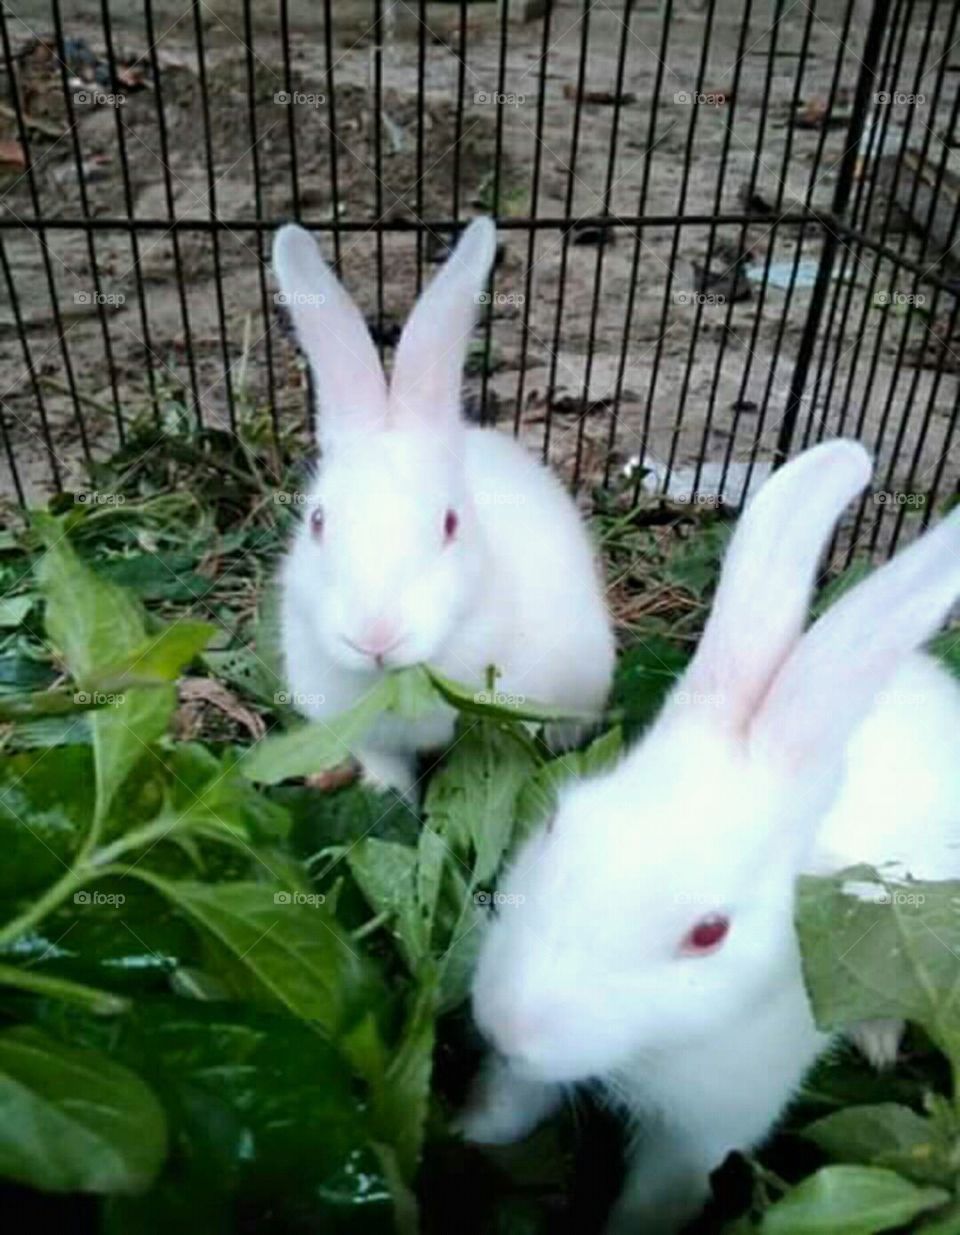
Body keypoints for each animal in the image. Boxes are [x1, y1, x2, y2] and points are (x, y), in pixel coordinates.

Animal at [269, 219, 615, 800]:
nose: (375, 637)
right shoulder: (370, 739)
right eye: (317, 522)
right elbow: (389, 773)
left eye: (450, 524)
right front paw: (386, 796)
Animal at [457, 439, 958, 1230]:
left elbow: (659, 1198)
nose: (507, 1026)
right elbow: (509, 1105)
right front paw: (462, 1133)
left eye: (708, 933)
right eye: (559, 824)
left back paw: (877, 1041)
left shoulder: (704, 1131)